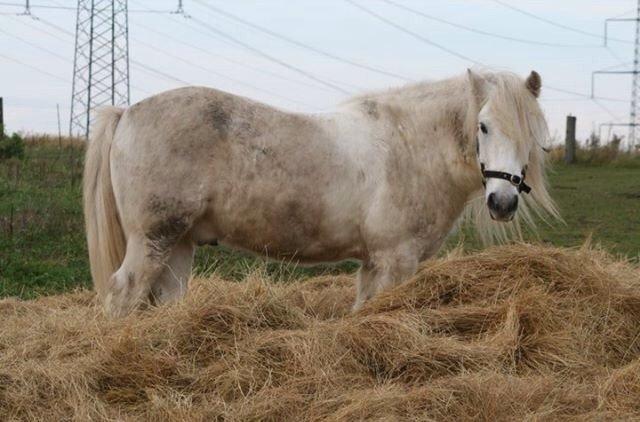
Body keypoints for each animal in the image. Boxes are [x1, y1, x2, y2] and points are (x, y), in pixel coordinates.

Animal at [83, 69, 558, 317]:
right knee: (124, 292)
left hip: (179, 242)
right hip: (153, 238)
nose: (502, 202)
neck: (409, 145)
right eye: (483, 127)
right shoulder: (396, 259)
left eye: (532, 135)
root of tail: (127, 113)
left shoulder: (373, 262)